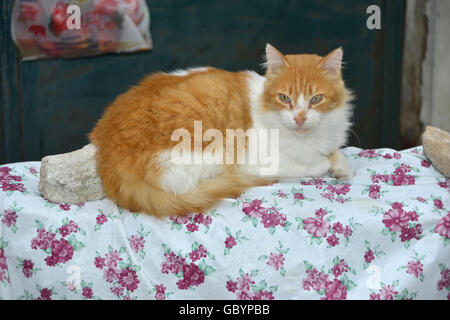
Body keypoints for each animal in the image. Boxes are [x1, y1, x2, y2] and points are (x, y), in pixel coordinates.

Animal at [89, 43, 354, 216]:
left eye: (316, 99)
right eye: (284, 98)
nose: (299, 118)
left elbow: (337, 153)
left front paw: (340, 166)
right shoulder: (260, 161)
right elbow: (316, 163)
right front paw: (328, 165)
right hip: (213, 153)